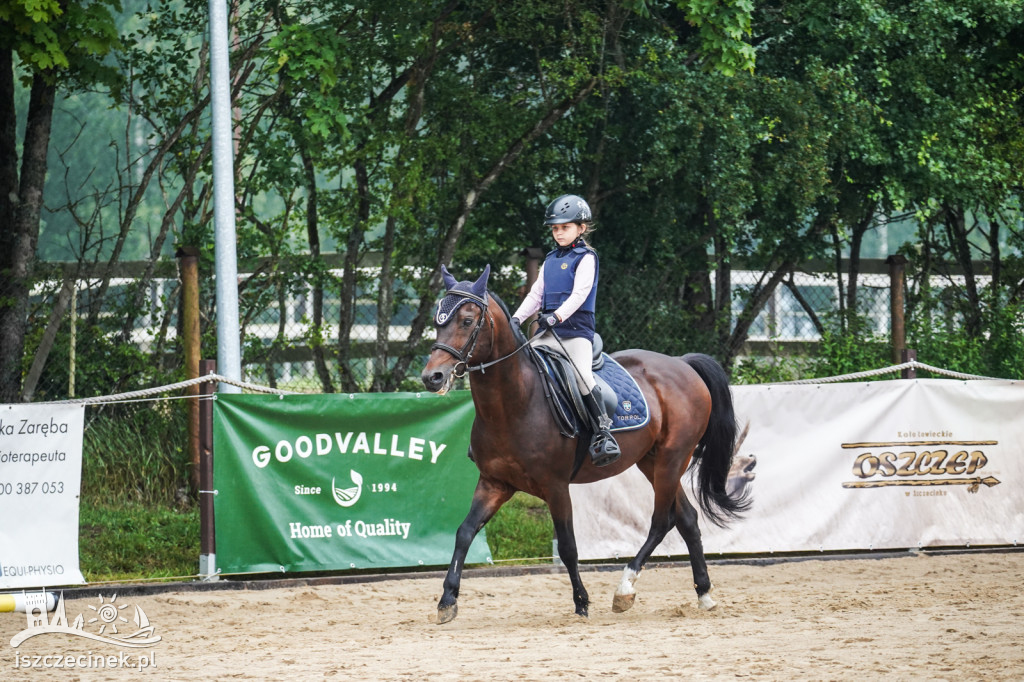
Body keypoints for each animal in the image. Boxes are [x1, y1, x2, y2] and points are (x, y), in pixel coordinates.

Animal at [419, 264, 749, 622]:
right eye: (438, 321)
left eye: (467, 321)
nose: (432, 377)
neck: (514, 402)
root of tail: (682, 363)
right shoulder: (495, 483)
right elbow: (464, 532)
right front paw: (447, 600)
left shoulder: (556, 487)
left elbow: (567, 546)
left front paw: (581, 601)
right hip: (653, 461)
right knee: (687, 519)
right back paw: (703, 593)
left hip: (672, 459)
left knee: (663, 520)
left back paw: (625, 589)